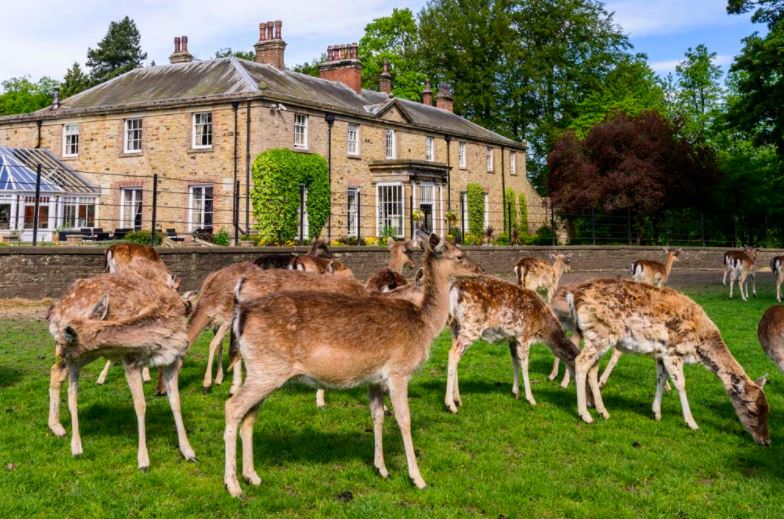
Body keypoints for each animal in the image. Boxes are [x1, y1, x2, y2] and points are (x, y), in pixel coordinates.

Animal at [47, 260, 196, 472]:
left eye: (67, 339)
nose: (60, 349)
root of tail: (54, 312)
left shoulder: (173, 360)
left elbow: (175, 401)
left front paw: (188, 451)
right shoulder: (130, 360)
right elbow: (140, 405)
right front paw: (143, 461)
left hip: (89, 354)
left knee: (57, 371)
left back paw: (57, 427)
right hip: (85, 355)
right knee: (67, 383)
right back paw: (75, 444)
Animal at [224, 234, 484, 498]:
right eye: (459, 255)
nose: (480, 270)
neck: (425, 324)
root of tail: (240, 315)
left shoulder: (375, 379)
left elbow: (377, 415)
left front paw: (382, 469)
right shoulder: (399, 371)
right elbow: (404, 420)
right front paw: (418, 479)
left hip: (265, 372)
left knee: (249, 417)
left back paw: (252, 477)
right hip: (266, 370)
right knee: (232, 406)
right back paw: (233, 486)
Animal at [444, 276, 580, 414]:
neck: (542, 328)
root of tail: (454, 290)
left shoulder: (512, 338)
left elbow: (515, 362)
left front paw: (516, 392)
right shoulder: (524, 335)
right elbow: (525, 365)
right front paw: (531, 399)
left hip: (455, 327)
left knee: (456, 356)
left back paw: (458, 399)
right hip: (471, 326)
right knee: (452, 353)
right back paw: (450, 405)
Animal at [568, 278, 768, 444]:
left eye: (768, 409)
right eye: (751, 411)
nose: (766, 441)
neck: (699, 345)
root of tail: (573, 297)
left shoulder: (661, 354)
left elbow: (661, 379)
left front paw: (656, 412)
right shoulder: (673, 352)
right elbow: (681, 384)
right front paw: (691, 423)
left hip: (597, 338)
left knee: (592, 369)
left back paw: (603, 411)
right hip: (601, 334)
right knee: (580, 362)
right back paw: (585, 415)